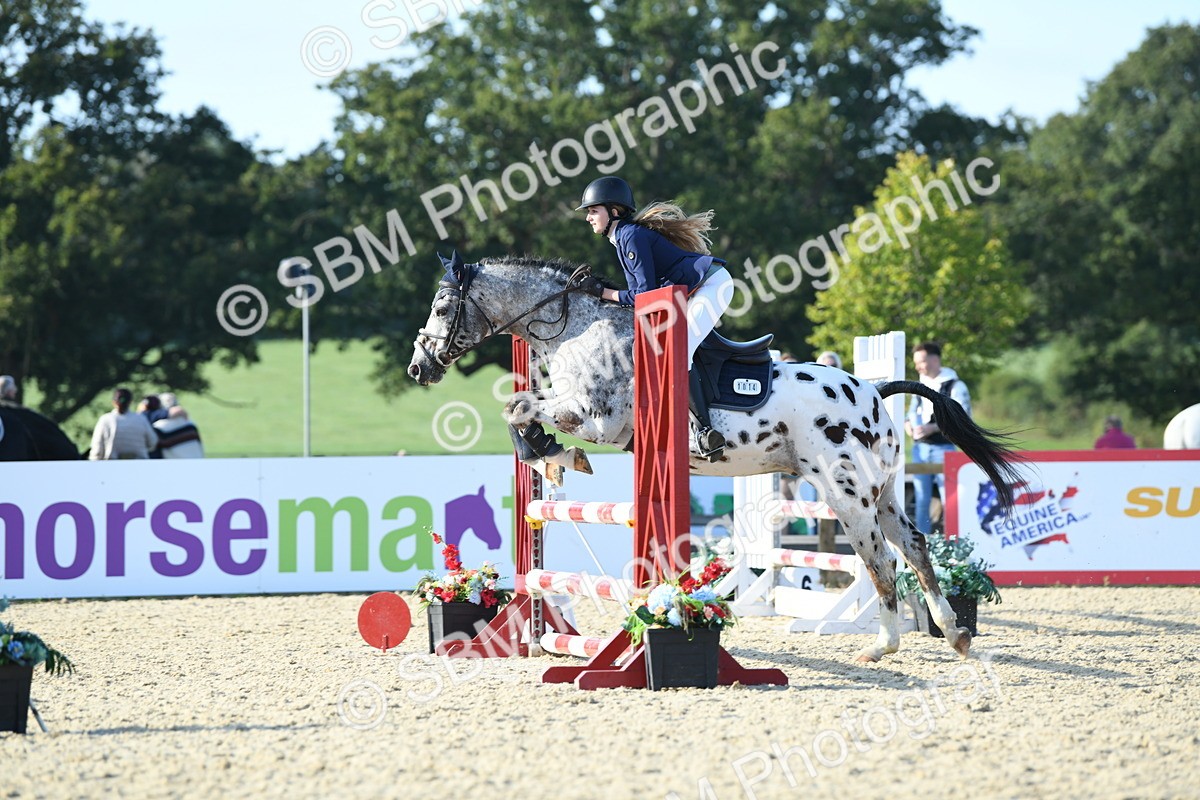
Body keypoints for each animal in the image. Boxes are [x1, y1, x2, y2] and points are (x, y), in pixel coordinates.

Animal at [408, 253, 1024, 663]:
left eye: (441, 305)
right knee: (915, 546)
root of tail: (872, 391)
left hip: (845, 494)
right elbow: (518, 409)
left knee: (880, 561)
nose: (419, 368)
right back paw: (955, 633)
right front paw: (548, 460)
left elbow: (519, 409)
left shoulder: (595, 417)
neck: (577, 330)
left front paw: (557, 455)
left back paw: (882, 646)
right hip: (885, 492)